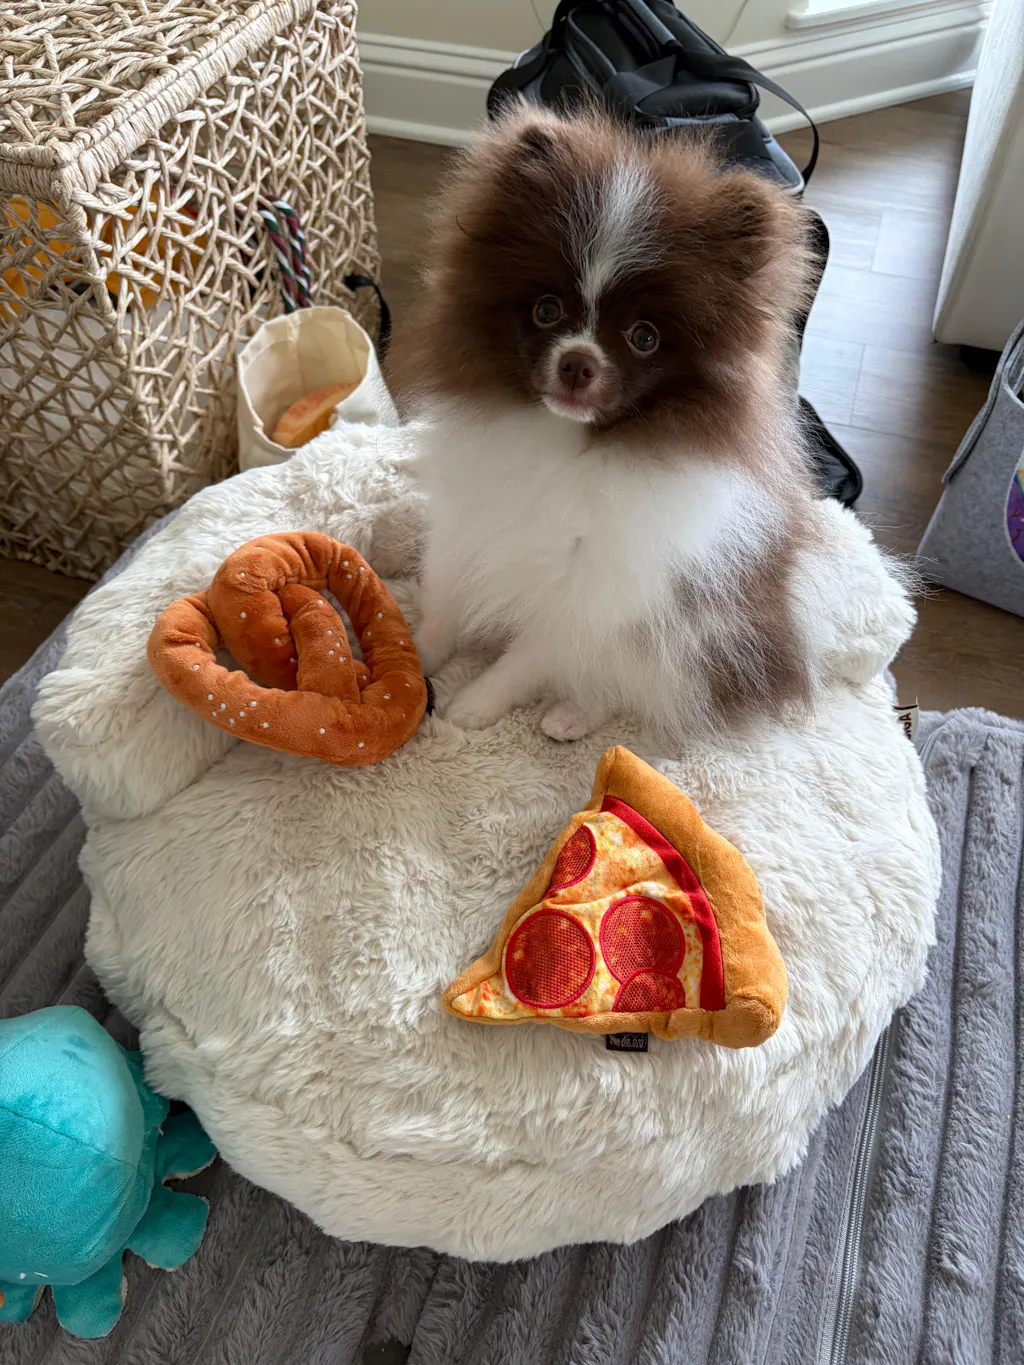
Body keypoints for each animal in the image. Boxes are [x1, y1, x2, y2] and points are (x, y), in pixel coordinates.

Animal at [386, 107, 823, 745]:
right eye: (547, 310)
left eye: (644, 336)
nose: (577, 362)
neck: (564, 442)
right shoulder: (469, 531)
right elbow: (443, 611)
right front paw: (407, 663)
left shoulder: (592, 593)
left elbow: (529, 655)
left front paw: (475, 703)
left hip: (696, 632)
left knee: (640, 685)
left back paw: (572, 715)